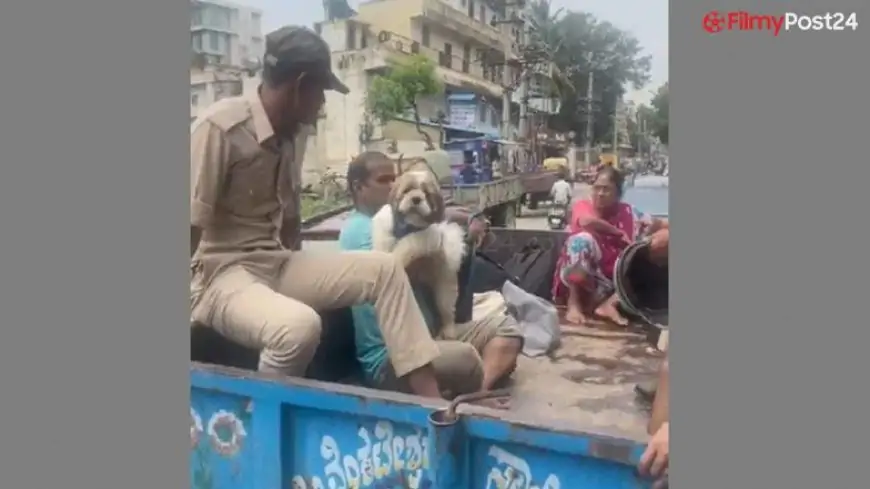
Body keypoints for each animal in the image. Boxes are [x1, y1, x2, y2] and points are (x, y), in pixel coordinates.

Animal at [372, 157, 470, 340]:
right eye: (407, 191)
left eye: (426, 194)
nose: (416, 198)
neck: (408, 226)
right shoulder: (385, 222)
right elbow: (383, 237)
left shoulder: (428, 235)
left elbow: (408, 245)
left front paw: (396, 256)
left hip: (444, 291)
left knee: (447, 312)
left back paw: (448, 331)